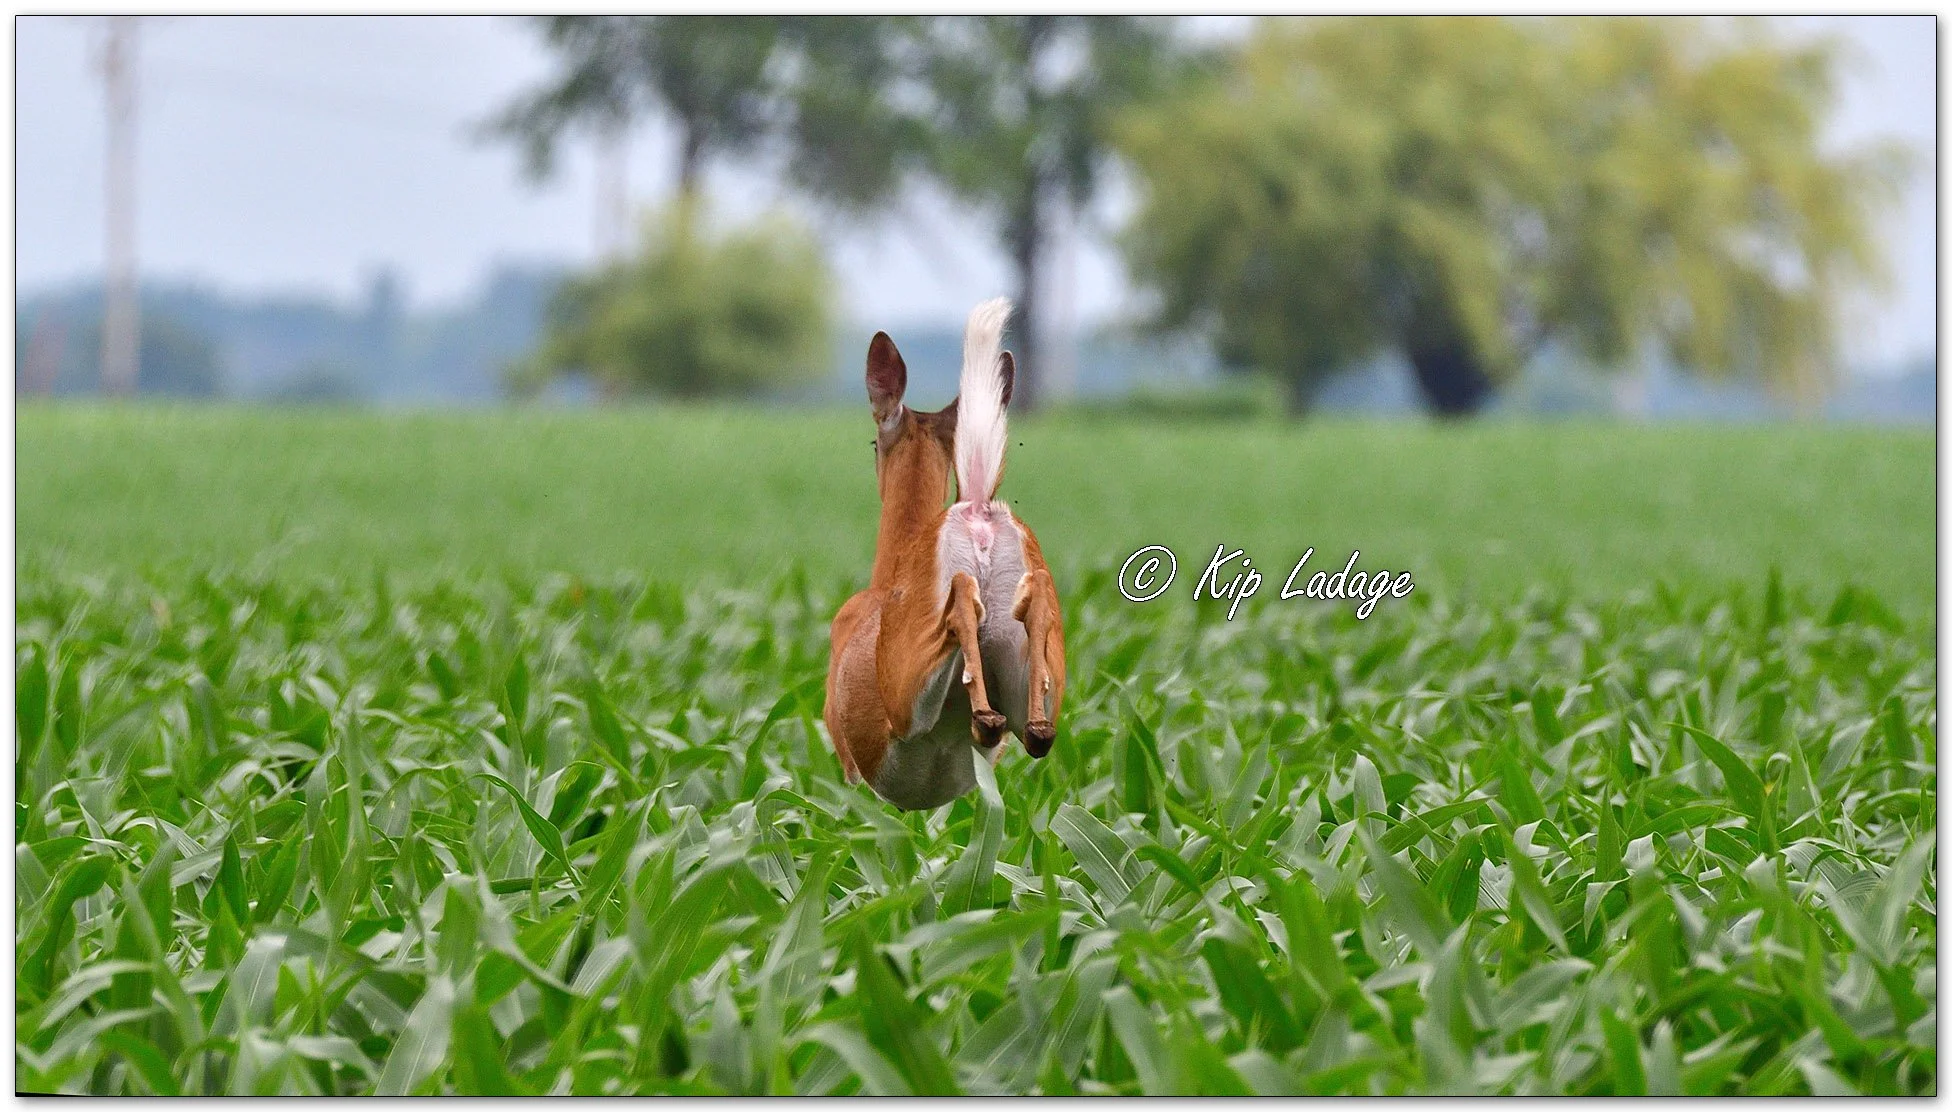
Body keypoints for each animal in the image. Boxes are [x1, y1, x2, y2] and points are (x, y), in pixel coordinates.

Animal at [823, 298, 1067, 811]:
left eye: (873, 443)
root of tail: (974, 508)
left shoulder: (851, 767)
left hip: (903, 690)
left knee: (958, 606)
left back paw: (983, 713)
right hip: (1034, 676)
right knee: (1035, 729)